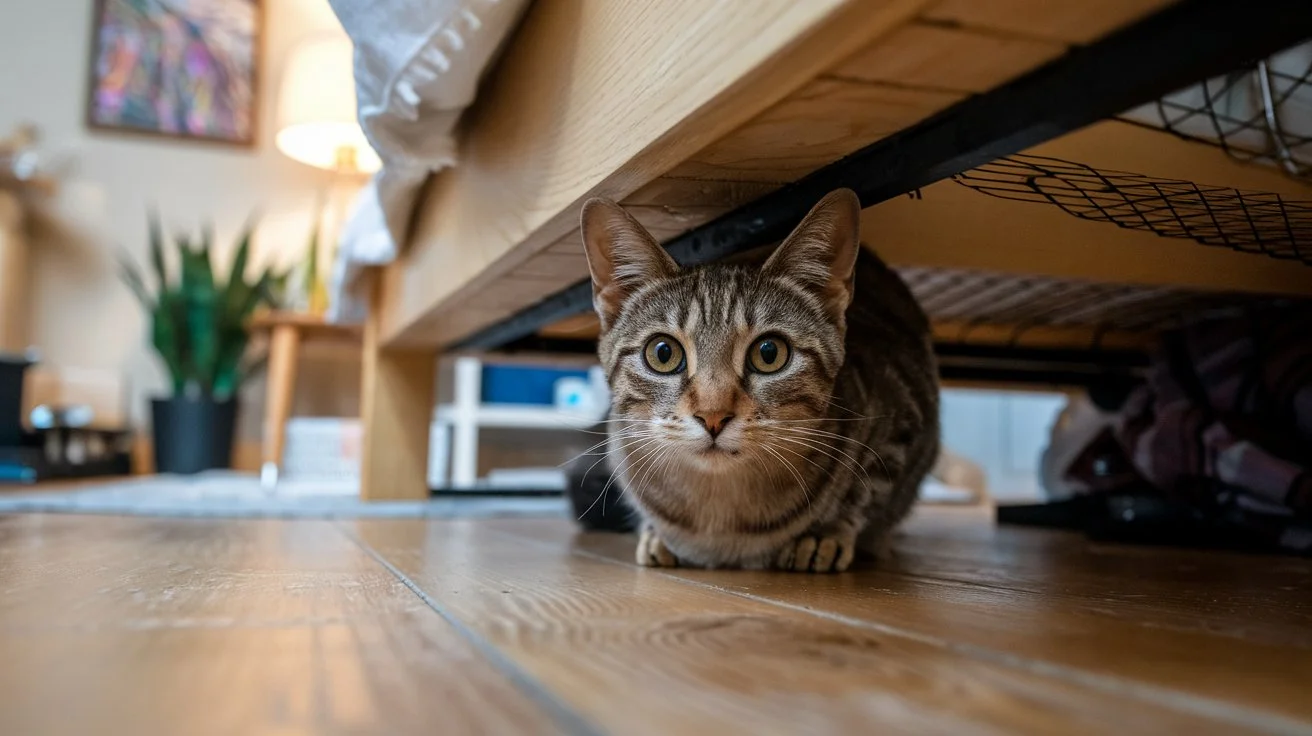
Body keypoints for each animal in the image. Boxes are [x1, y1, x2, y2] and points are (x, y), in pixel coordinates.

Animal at [569, 186, 939, 572]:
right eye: (663, 353)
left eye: (769, 353)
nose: (713, 416)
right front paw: (654, 533)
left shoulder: (902, 424)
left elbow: (866, 490)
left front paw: (826, 534)